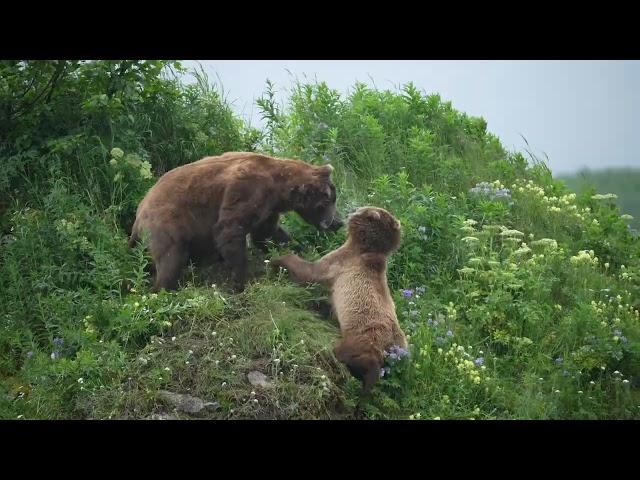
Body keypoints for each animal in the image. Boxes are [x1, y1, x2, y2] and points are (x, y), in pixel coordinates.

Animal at [127, 152, 342, 290]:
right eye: (329, 199)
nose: (337, 222)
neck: (279, 187)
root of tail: (139, 213)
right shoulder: (248, 189)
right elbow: (229, 229)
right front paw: (240, 280)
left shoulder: (268, 207)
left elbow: (266, 233)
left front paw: (297, 246)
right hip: (168, 223)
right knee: (170, 258)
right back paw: (163, 288)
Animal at [272, 206, 408, 394]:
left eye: (362, 209)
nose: (352, 209)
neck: (365, 249)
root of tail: (390, 349)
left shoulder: (342, 261)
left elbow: (312, 271)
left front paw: (279, 259)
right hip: (400, 345)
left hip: (363, 337)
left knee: (351, 354)